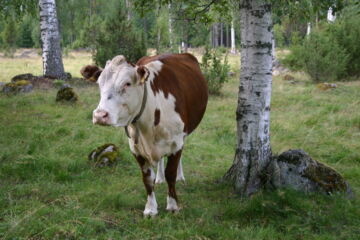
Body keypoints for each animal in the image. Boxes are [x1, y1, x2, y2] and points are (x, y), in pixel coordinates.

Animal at [83, 53, 208, 217]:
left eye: (127, 83)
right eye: (99, 83)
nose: (99, 115)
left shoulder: (176, 143)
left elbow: (171, 173)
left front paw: (173, 205)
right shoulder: (136, 148)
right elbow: (147, 179)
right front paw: (150, 209)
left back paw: (180, 177)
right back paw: (160, 178)